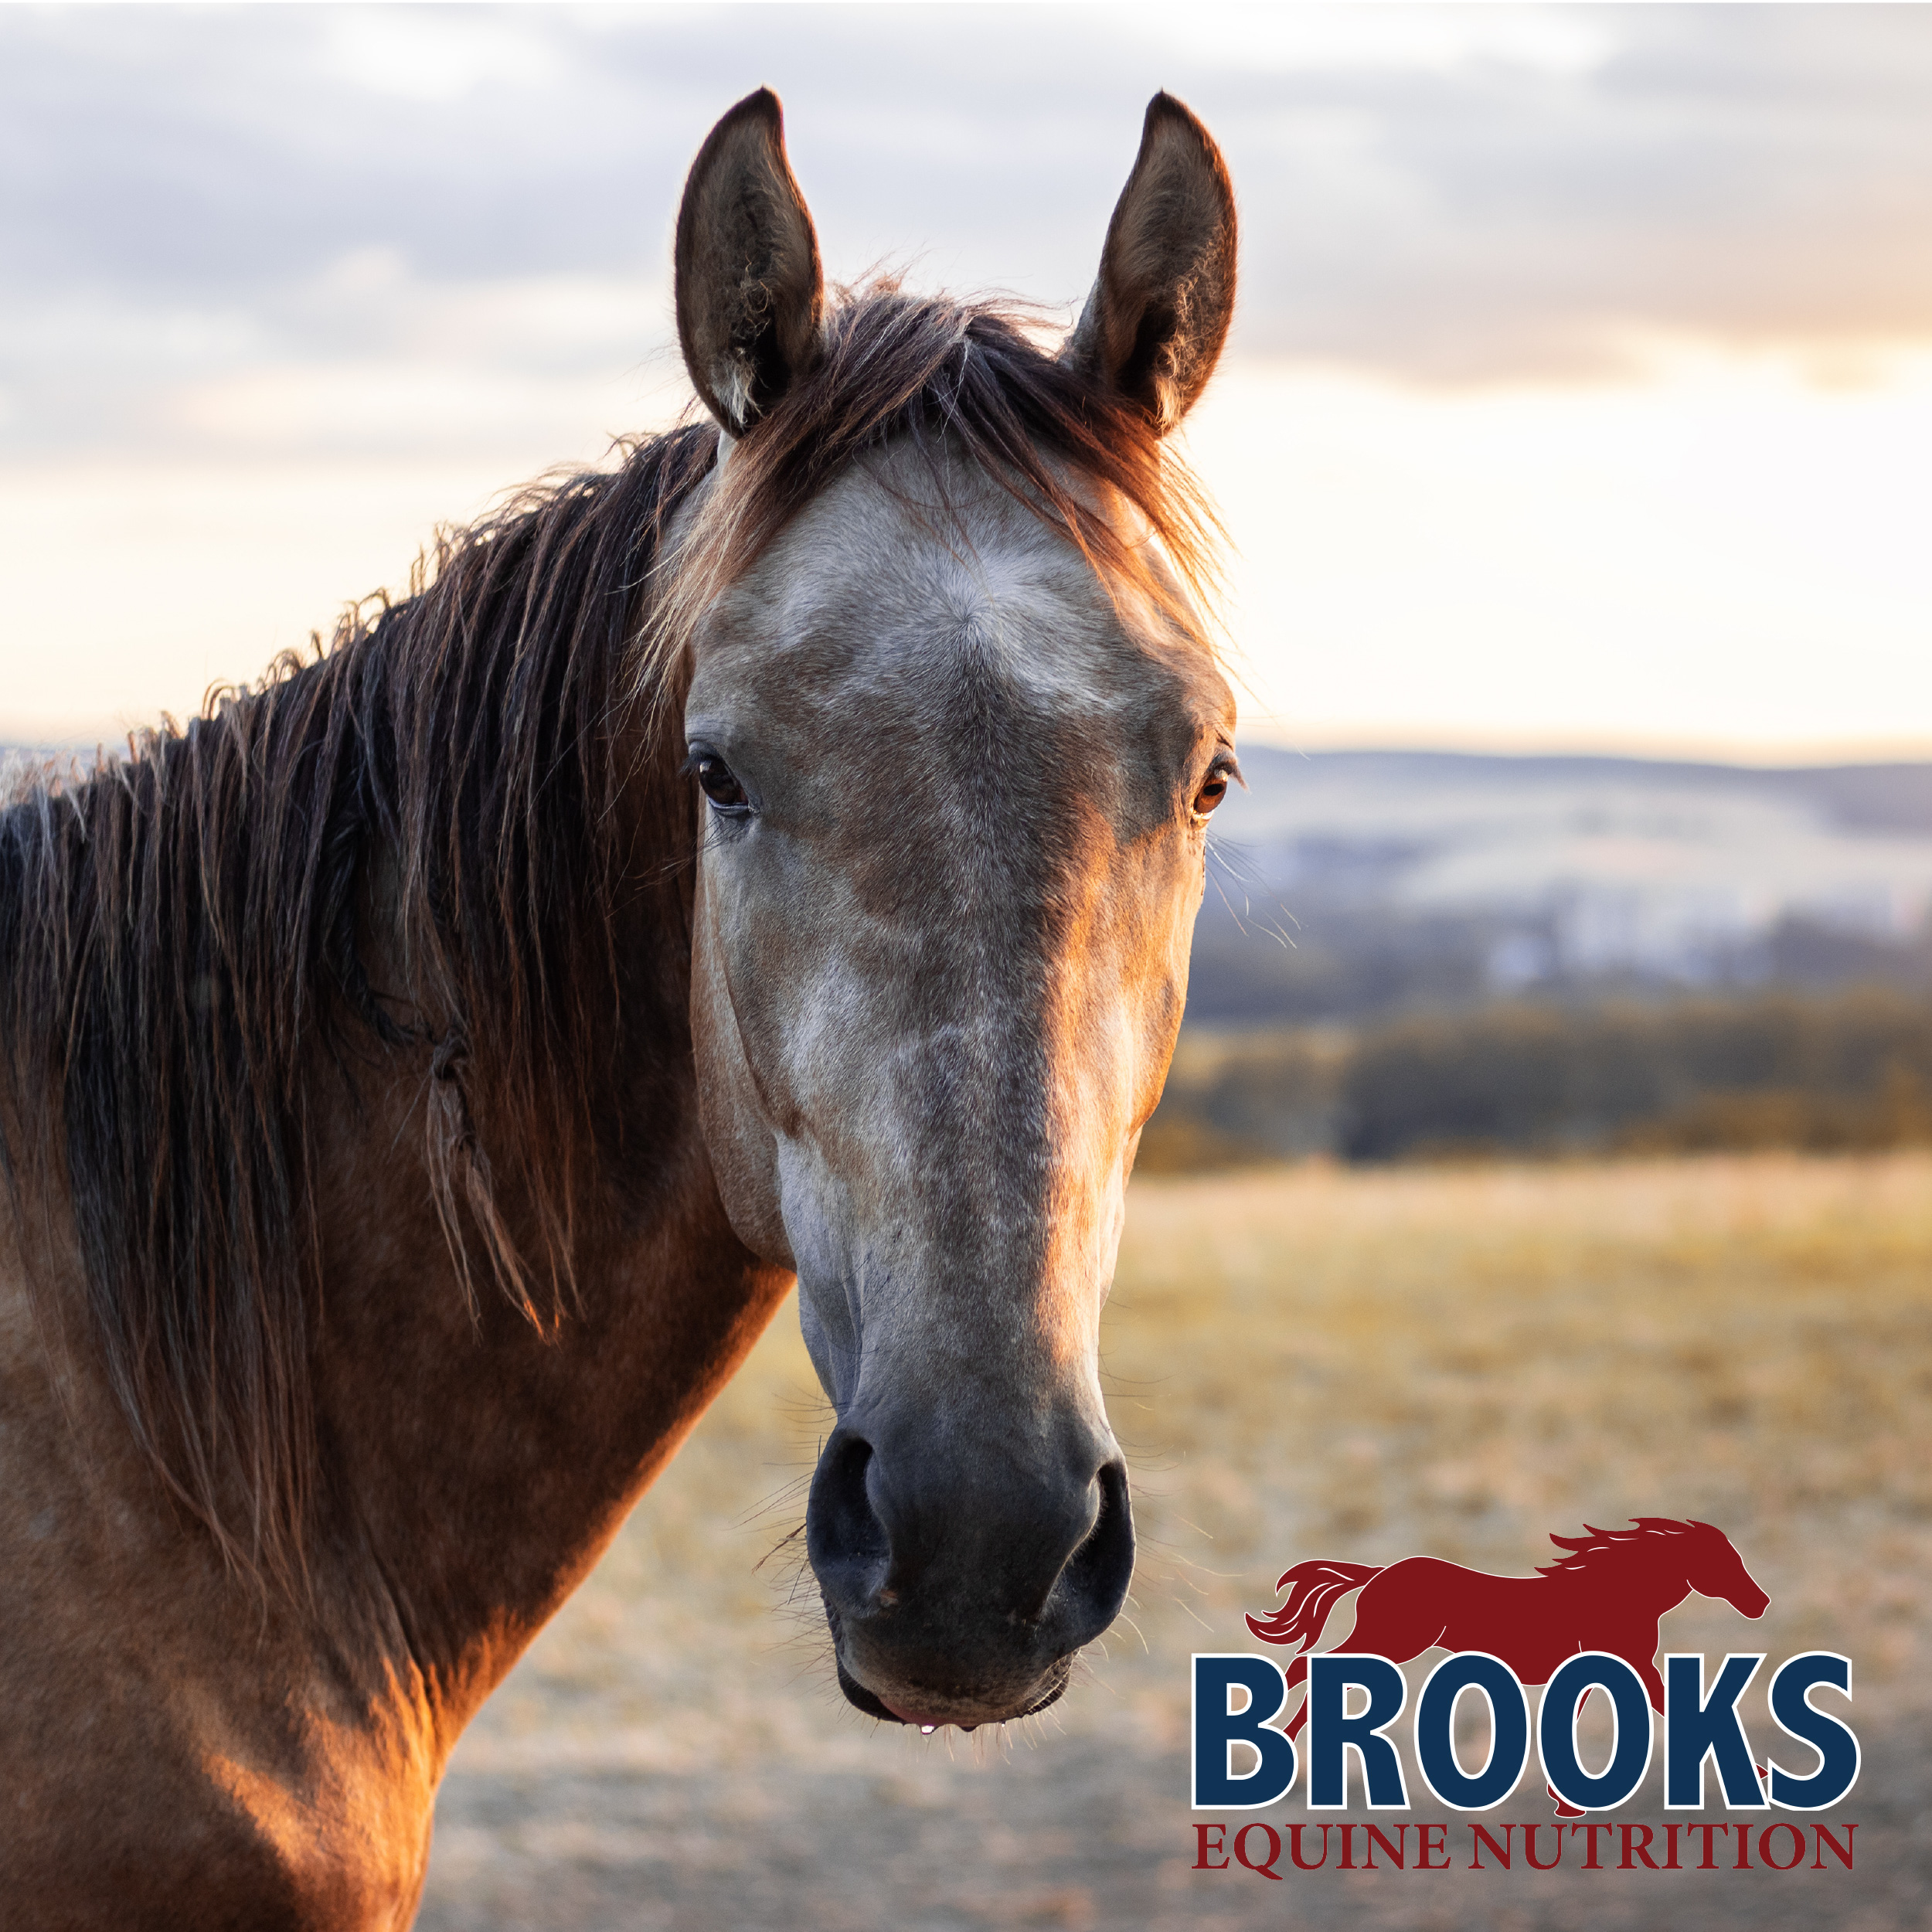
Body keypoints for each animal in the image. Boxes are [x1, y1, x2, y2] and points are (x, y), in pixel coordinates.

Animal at [1246, 1518, 1770, 1812]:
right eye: (1722, 1560)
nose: (1761, 1603)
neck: (1617, 1595)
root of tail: (1379, 1573)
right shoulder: (1633, 1665)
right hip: (1392, 1643)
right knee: (1312, 1667)